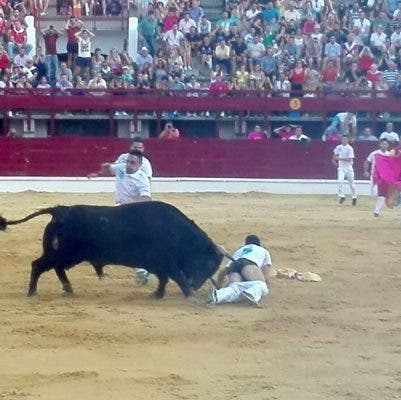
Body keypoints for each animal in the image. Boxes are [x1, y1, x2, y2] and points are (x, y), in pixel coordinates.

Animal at [0, 202, 225, 298]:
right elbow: (175, 276)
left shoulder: (159, 264)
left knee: (56, 268)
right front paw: (189, 294)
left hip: (68, 256)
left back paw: (69, 289)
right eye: (208, 263)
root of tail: (60, 210)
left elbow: (164, 279)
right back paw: (33, 293)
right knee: (38, 265)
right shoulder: (166, 262)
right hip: (60, 253)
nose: (196, 285)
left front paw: (158, 294)